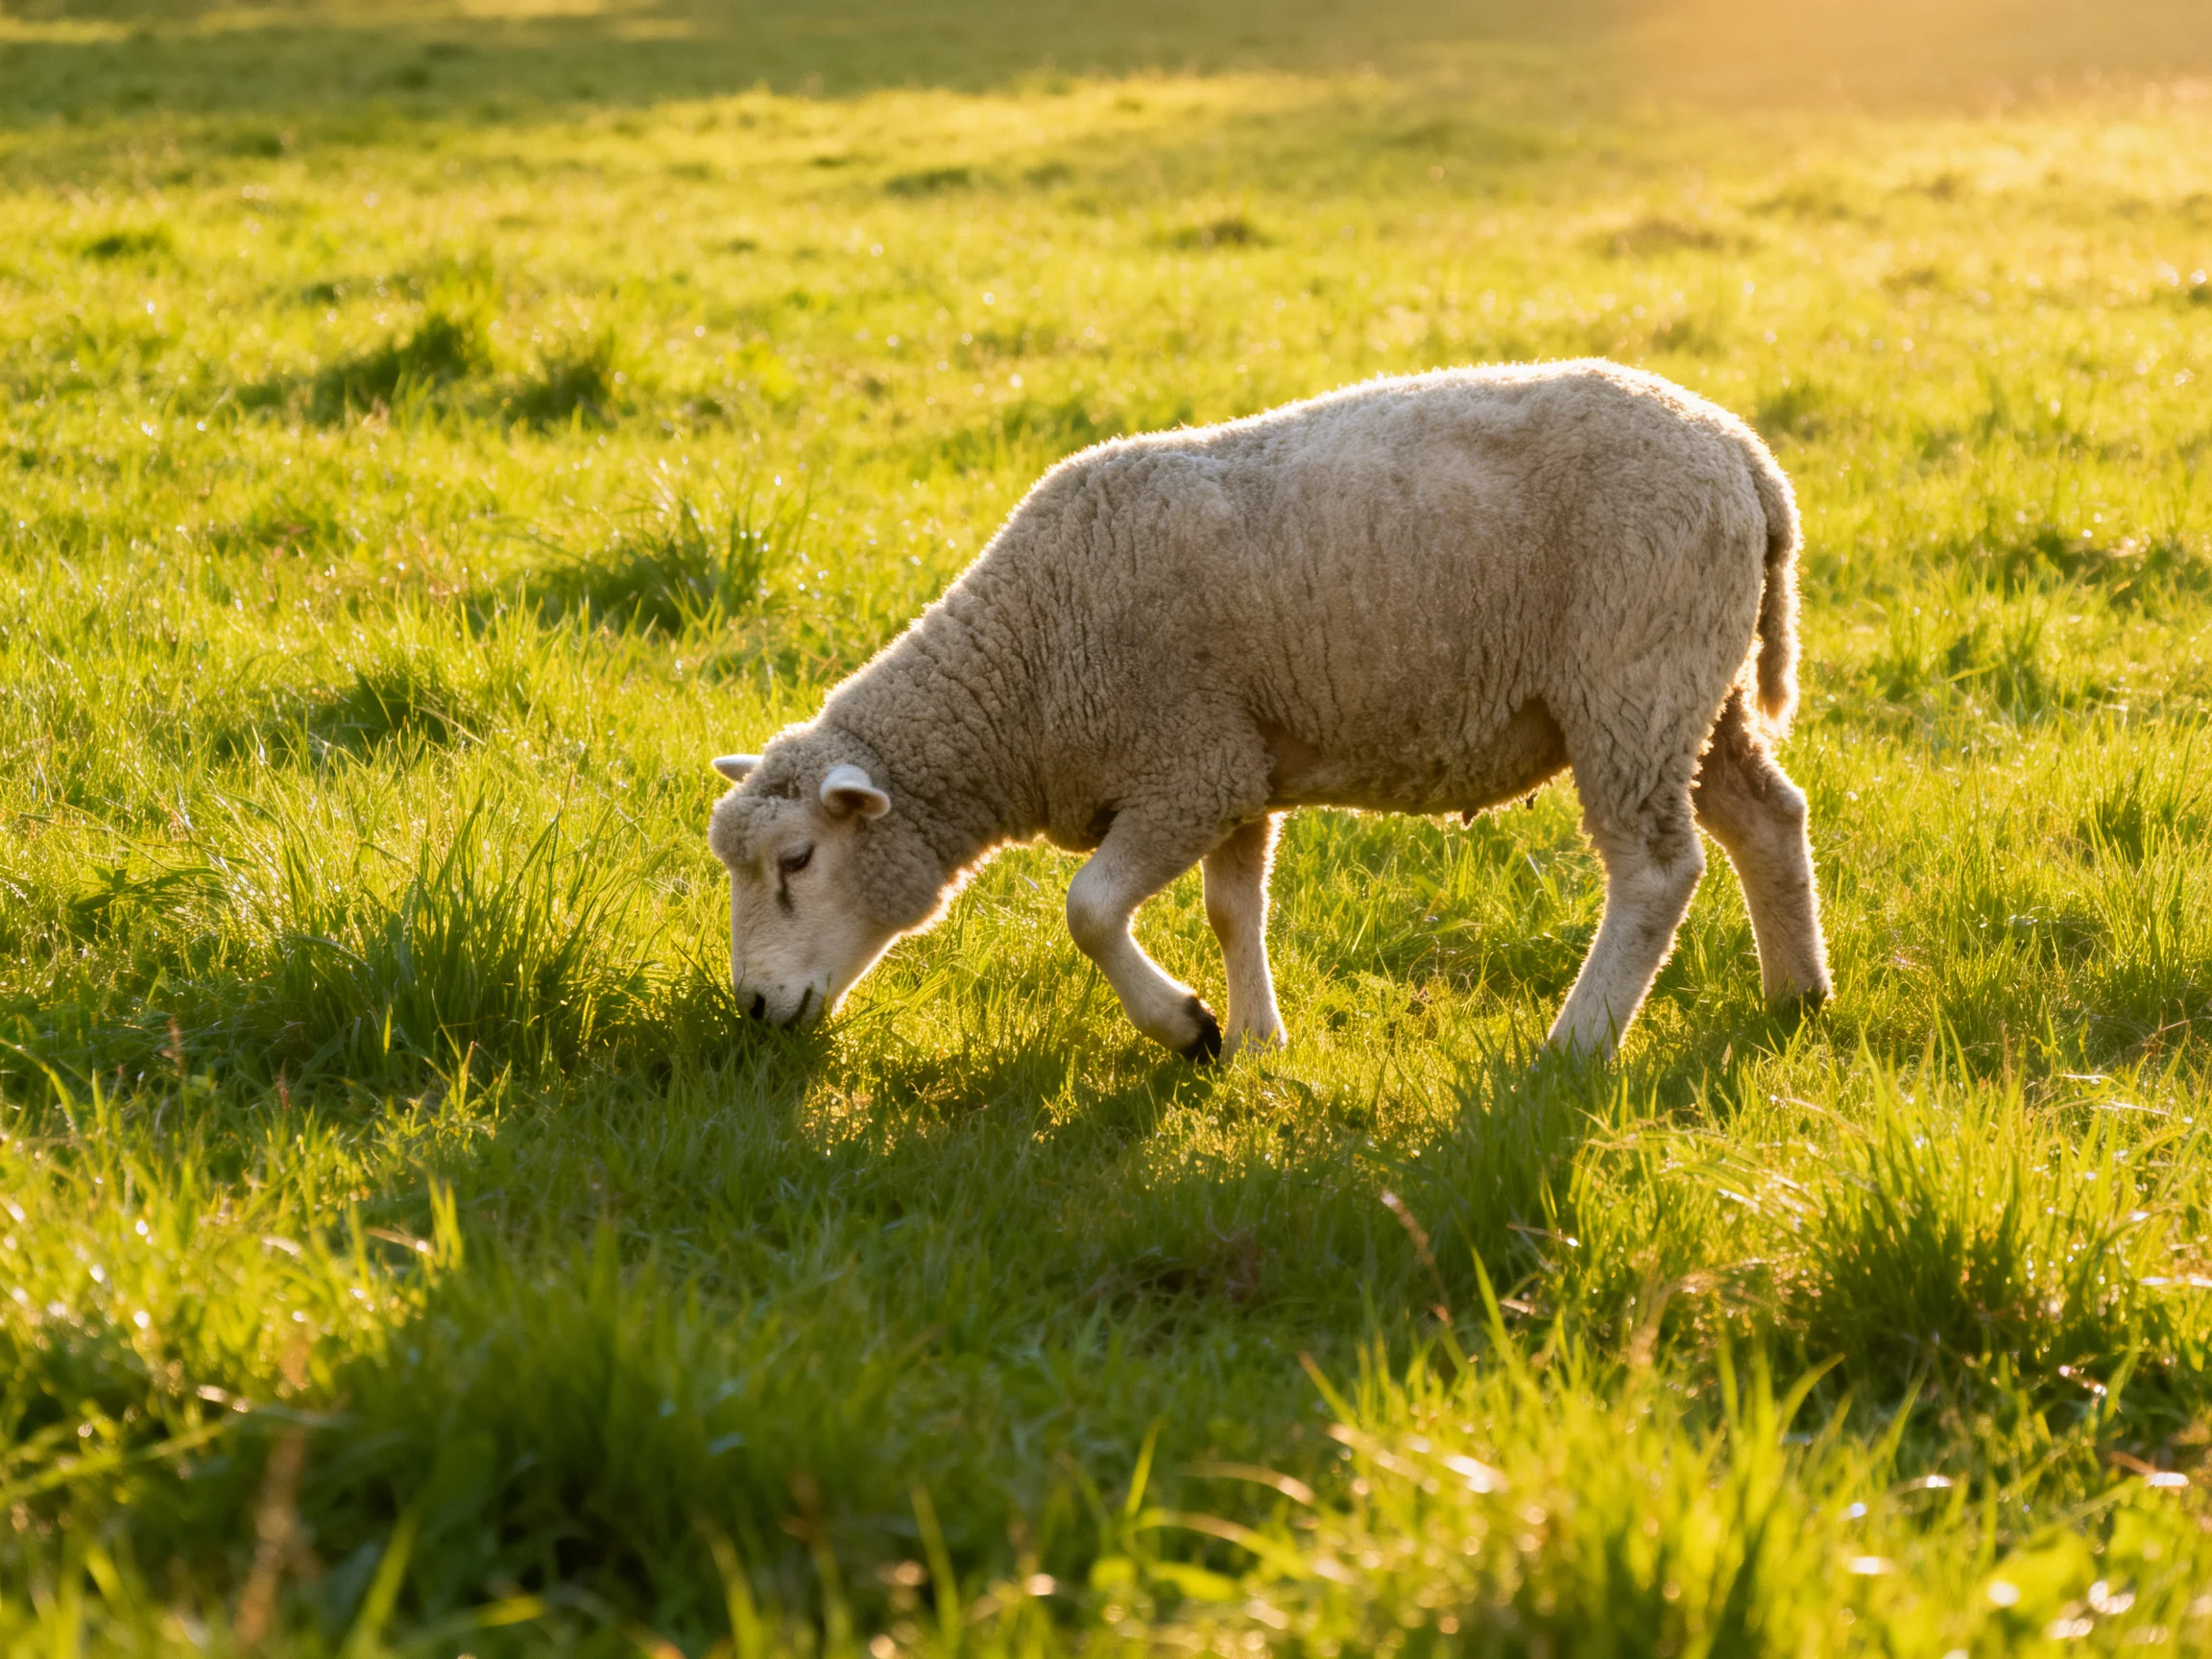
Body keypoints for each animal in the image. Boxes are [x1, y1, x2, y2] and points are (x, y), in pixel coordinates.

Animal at [707, 360, 1831, 1060]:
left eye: (797, 861)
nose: (754, 1008)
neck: (1024, 674)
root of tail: (1746, 458)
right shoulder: (1238, 766)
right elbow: (1232, 907)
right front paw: (1255, 1038)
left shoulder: (1187, 766)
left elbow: (1089, 909)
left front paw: (1186, 1028)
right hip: (1701, 686)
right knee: (1770, 820)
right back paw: (1797, 994)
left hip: (1632, 677)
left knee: (1656, 871)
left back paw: (1579, 1042)